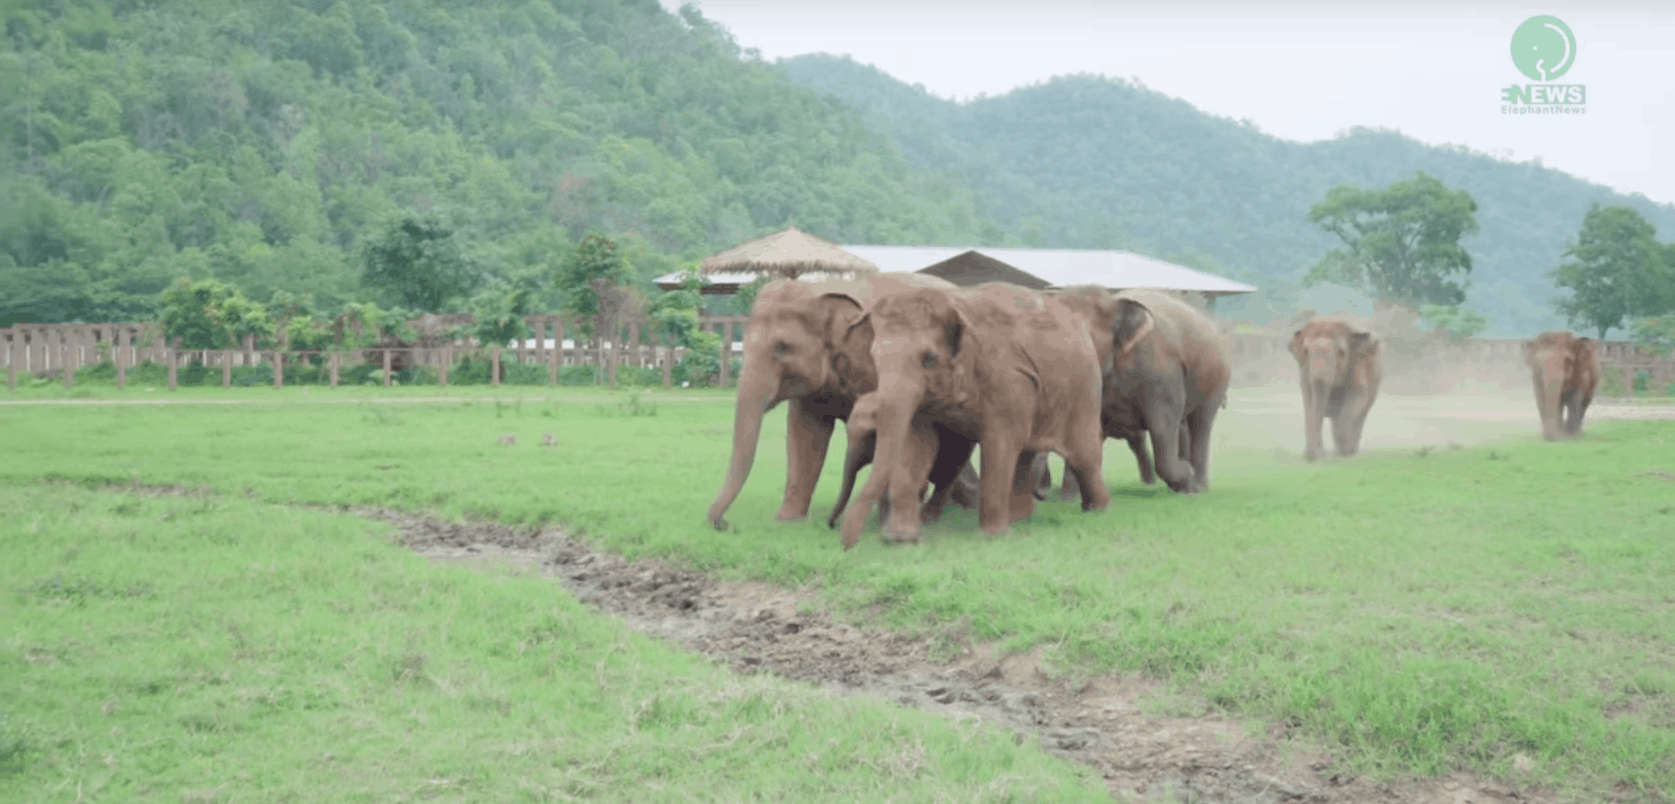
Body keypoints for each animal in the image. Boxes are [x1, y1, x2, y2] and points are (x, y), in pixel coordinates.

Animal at [839, 282, 1111, 548]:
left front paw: (993, 537)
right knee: (1026, 452)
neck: (955, 303)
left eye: (930, 359)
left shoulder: (1008, 380)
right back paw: (1021, 520)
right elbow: (918, 444)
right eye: (874, 357)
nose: (848, 544)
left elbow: (1000, 444)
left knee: (1083, 456)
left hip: (1084, 392)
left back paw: (1098, 511)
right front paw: (900, 540)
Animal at [1048, 287, 1231, 496]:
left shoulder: (1160, 371)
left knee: (1201, 422)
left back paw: (1198, 485)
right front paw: (1067, 498)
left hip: (1216, 377)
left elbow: (1163, 425)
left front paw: (1186, 477)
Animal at [1290, 317, 1383, 461]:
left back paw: (1349, 451)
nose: (1312, 458)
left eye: (1341, 353)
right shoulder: (1304, 374)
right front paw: (1316, 454)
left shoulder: (1357, 367)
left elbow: (1355, 401)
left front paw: (1345, 453)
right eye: (1306, 352)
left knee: (1361, 414)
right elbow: (1309, 403)